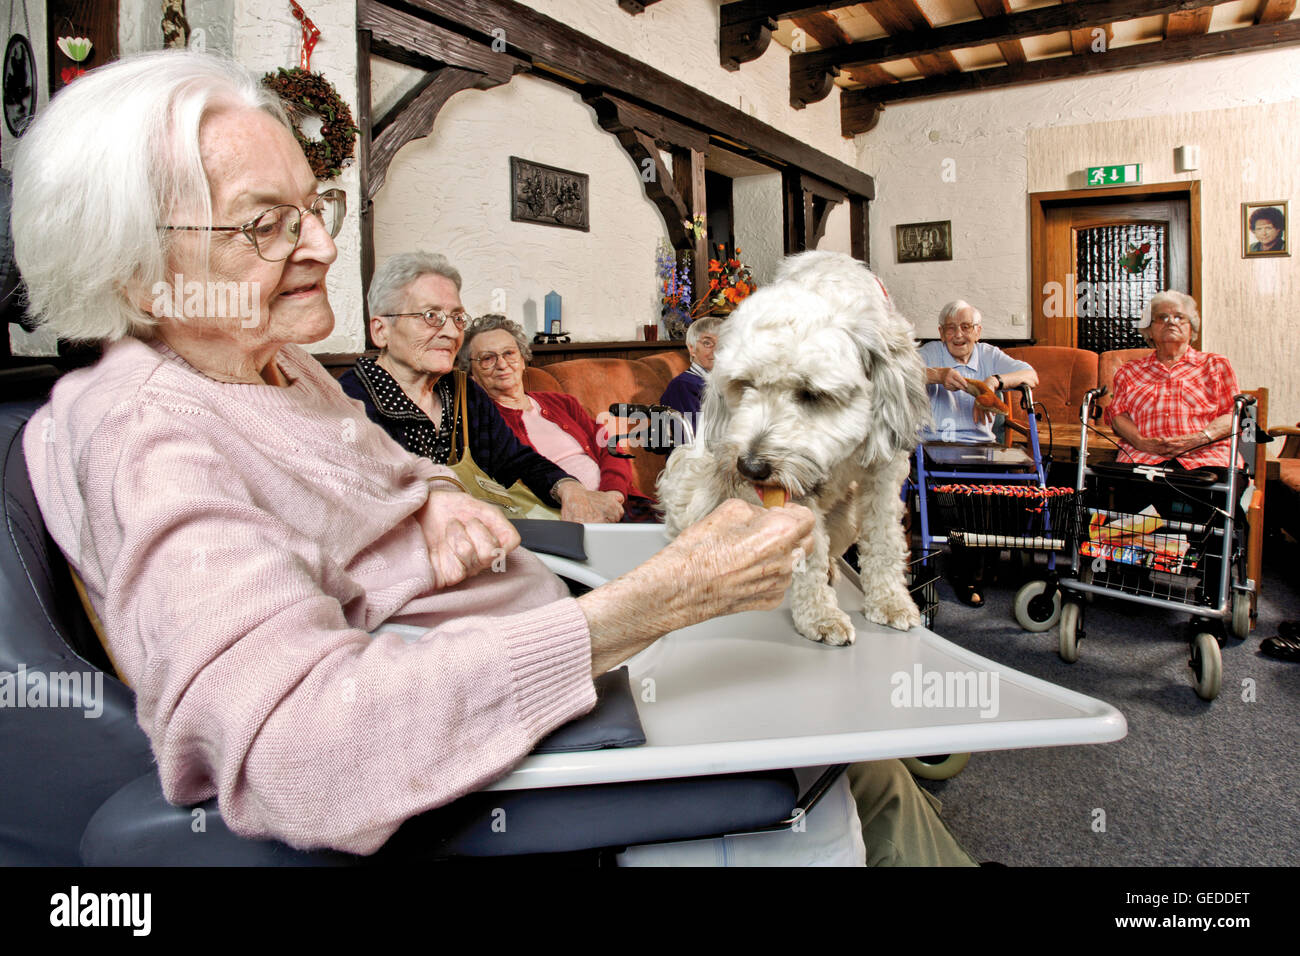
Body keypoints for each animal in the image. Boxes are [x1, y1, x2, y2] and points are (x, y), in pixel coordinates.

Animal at [660, 251, 925, 647]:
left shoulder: (884, 471)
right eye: (743, 384)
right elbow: (809, 553)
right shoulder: (796, 492)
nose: (751, 467)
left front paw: (891, 601)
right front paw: (820, 615)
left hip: (847, 519)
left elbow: (884, 539)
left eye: (812, 393)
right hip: (693, 484)